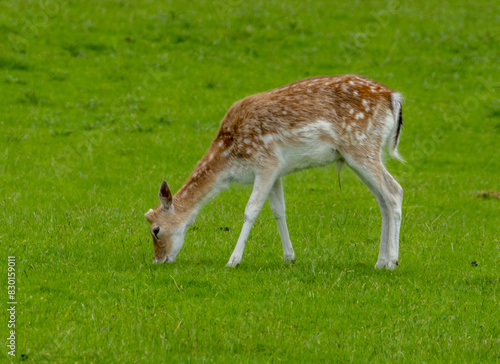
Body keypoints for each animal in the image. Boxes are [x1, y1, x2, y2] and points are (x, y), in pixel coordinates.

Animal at [144, 74, 402, 268]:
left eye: (156, 230)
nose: (158, 260)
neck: (230, 159)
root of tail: (394, 98)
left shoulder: (266, 162)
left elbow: (251, 210)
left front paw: (233, 260)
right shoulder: (276, 170)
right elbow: (279, 210)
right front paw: (289, 257)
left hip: (361, 147)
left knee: (394, 192)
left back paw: (392, 262)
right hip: (360, 154)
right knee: (383, 199)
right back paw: (380, 261)